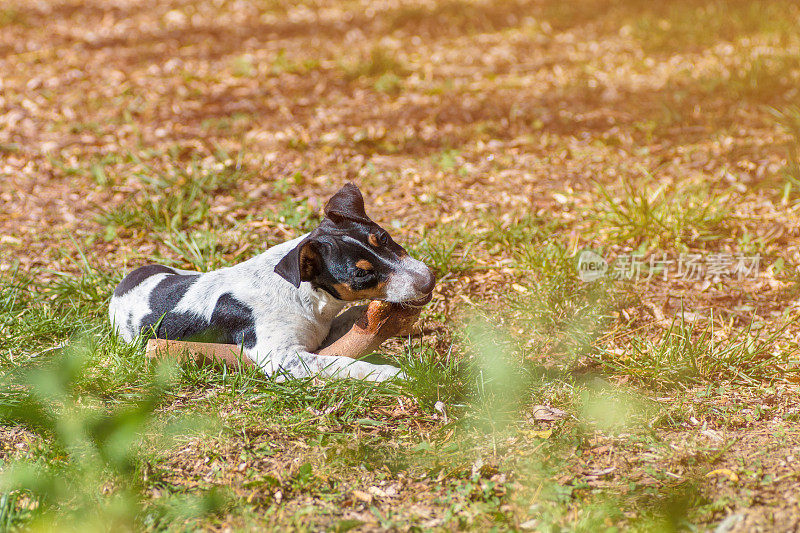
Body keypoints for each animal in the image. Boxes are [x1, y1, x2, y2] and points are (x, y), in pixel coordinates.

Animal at [108, 185, 434, 380]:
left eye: (383, 238)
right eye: (359, 274)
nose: (428, 281)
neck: (303, 297)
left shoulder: (323, 331)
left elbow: (353, 318)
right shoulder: (283, 358)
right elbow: (343, 363)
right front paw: (390, 374)